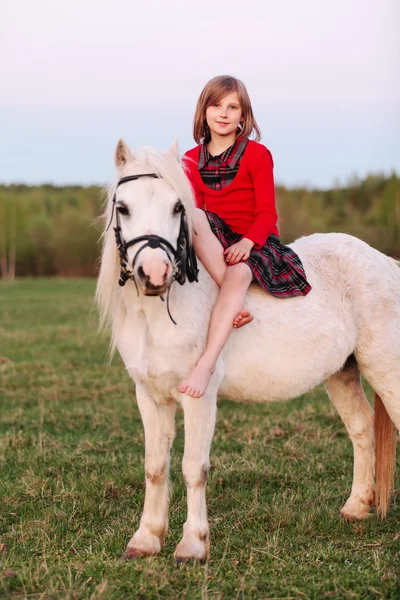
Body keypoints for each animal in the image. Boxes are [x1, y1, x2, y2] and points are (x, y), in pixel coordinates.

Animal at [97, 138, 400, 560]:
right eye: (123, 207)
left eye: (178, 208)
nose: (155, 274)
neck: (157, 317)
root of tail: (385, 262)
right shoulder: (149, 395)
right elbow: (154, 467)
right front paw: (145, 539)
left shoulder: (198, 397)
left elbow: (193, 467)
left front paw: (193, 544)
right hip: (342, 372)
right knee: (361, 428)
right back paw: (355, 508)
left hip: (386, 368)